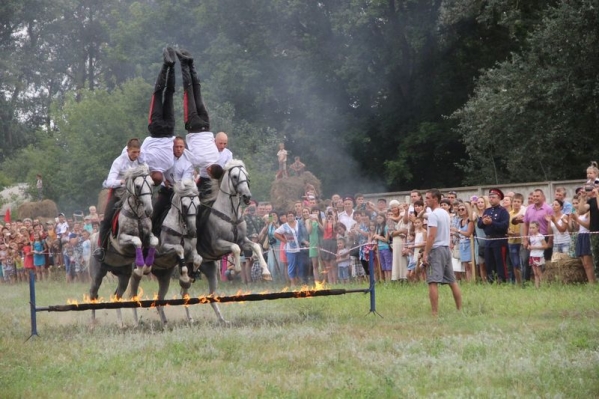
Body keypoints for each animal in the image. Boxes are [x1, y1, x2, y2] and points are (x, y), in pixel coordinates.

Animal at [89, 165, 158, 324]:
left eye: (152, 184)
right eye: (137, 186)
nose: (149, 210)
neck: (137, 215)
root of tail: (92, 238)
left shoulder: (148, 237)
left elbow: (154, 241)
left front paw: (146, 266)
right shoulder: (121, 241)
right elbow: (136, 241)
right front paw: (140, 265)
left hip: (123, 276)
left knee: (116, 296)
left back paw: (121, 324)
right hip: (97, 274)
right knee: (92, 295)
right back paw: (92, 324)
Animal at [127, 180, 205, 326]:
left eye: (198, 205)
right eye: (184, 206)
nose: (193, 231)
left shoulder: (191, 254)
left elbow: (198, 259)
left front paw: (192, 275)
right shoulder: (164, 249)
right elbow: (179, 249)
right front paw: (185, 277)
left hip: (164, 277)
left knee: (160, 298)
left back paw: (167, 321)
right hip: (137, 270)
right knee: (132, 293)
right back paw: (135, 321)